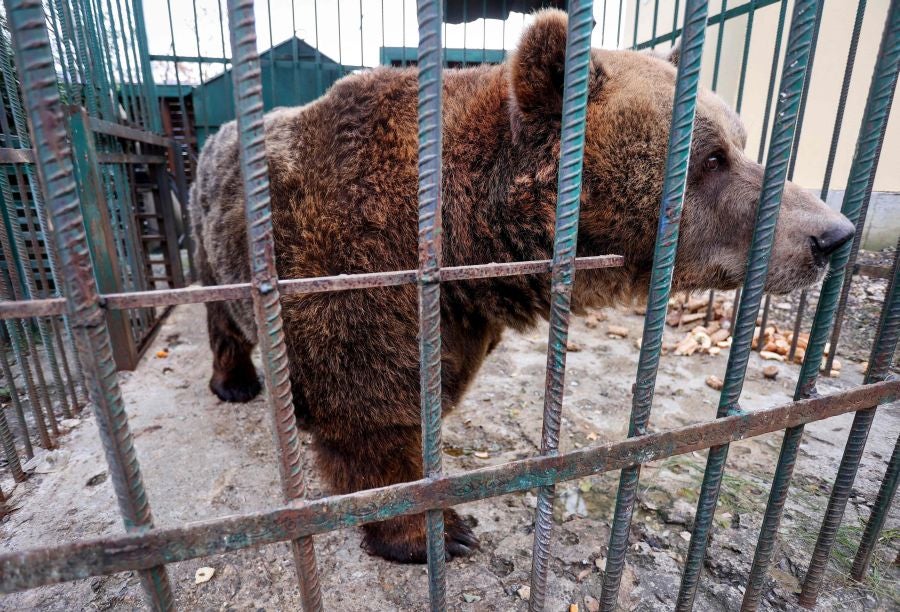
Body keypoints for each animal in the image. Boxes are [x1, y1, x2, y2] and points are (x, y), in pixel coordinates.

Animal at [189, 10, 854, 563]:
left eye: (741, 143)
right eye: (712, 158)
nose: (832, 233)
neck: (464, 238)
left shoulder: (458, 318)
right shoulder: (347, 266)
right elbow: (368, 412)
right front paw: (435, 533)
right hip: (215, 245)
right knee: (222, 317)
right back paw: (235, 382)